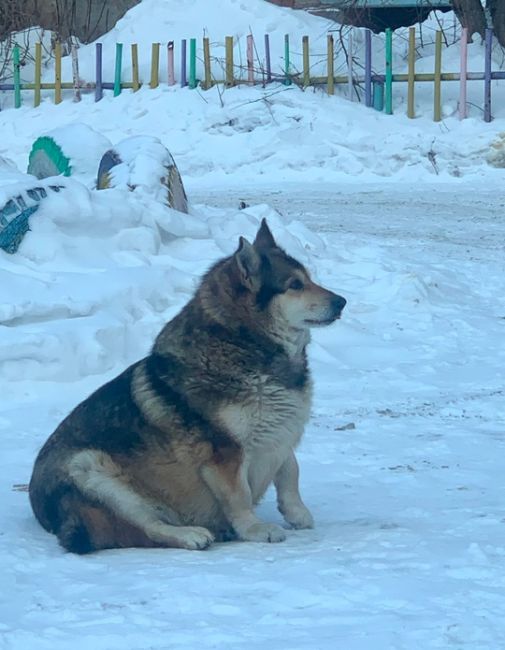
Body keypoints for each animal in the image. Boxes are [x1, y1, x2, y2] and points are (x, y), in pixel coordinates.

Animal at [28, 219, 346, 552]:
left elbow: (290, 471)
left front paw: (296, 512)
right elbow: (240, 496)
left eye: (308, 279)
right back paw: (191, 534)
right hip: (93, 471)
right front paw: (254, 529)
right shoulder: (225, 453)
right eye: (295, 285)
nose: (342, 302)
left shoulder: (280, 432)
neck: (242, 341)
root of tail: (41, 511)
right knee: (150, 528)